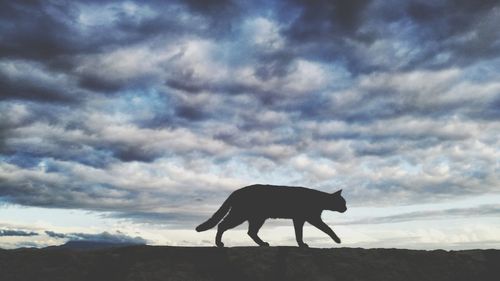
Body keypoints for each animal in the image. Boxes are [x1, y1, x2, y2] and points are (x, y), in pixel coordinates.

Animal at [195, 184, 348, 247]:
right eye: (343, 202)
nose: (346, 208)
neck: (319, 200)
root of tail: (236, 191)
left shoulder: (299, 219)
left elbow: (299, 233)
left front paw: (301, 244)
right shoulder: (313, 218)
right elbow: (327, 228)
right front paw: (337, 240)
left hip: (257, 218)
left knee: (251, 232)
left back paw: (262, 244)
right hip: (240, 215)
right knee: (222, 225)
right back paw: (219, 243)